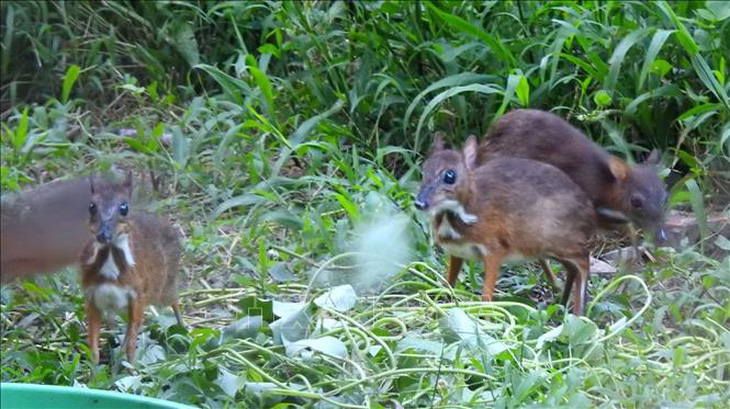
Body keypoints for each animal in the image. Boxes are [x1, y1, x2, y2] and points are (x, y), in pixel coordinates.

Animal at [78, 171, 182, 362]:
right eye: (91, 206)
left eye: (124, 208)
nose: (103, 234)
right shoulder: (91, 296)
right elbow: (93, 348)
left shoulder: (138, 295)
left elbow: (131, 347)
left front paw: (132, 367)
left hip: (166, 283)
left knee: (175, 301)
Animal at [416, 132, 596, 314]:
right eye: (423, 171)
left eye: (450, 175)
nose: (420, 203)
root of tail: (590, 211)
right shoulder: (457, 252)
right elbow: (448, 285)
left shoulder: (494, 248)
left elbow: (486, 298)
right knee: (572, 268)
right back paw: (563, 304)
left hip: (559, 240)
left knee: (583, 262)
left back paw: (579, 312)